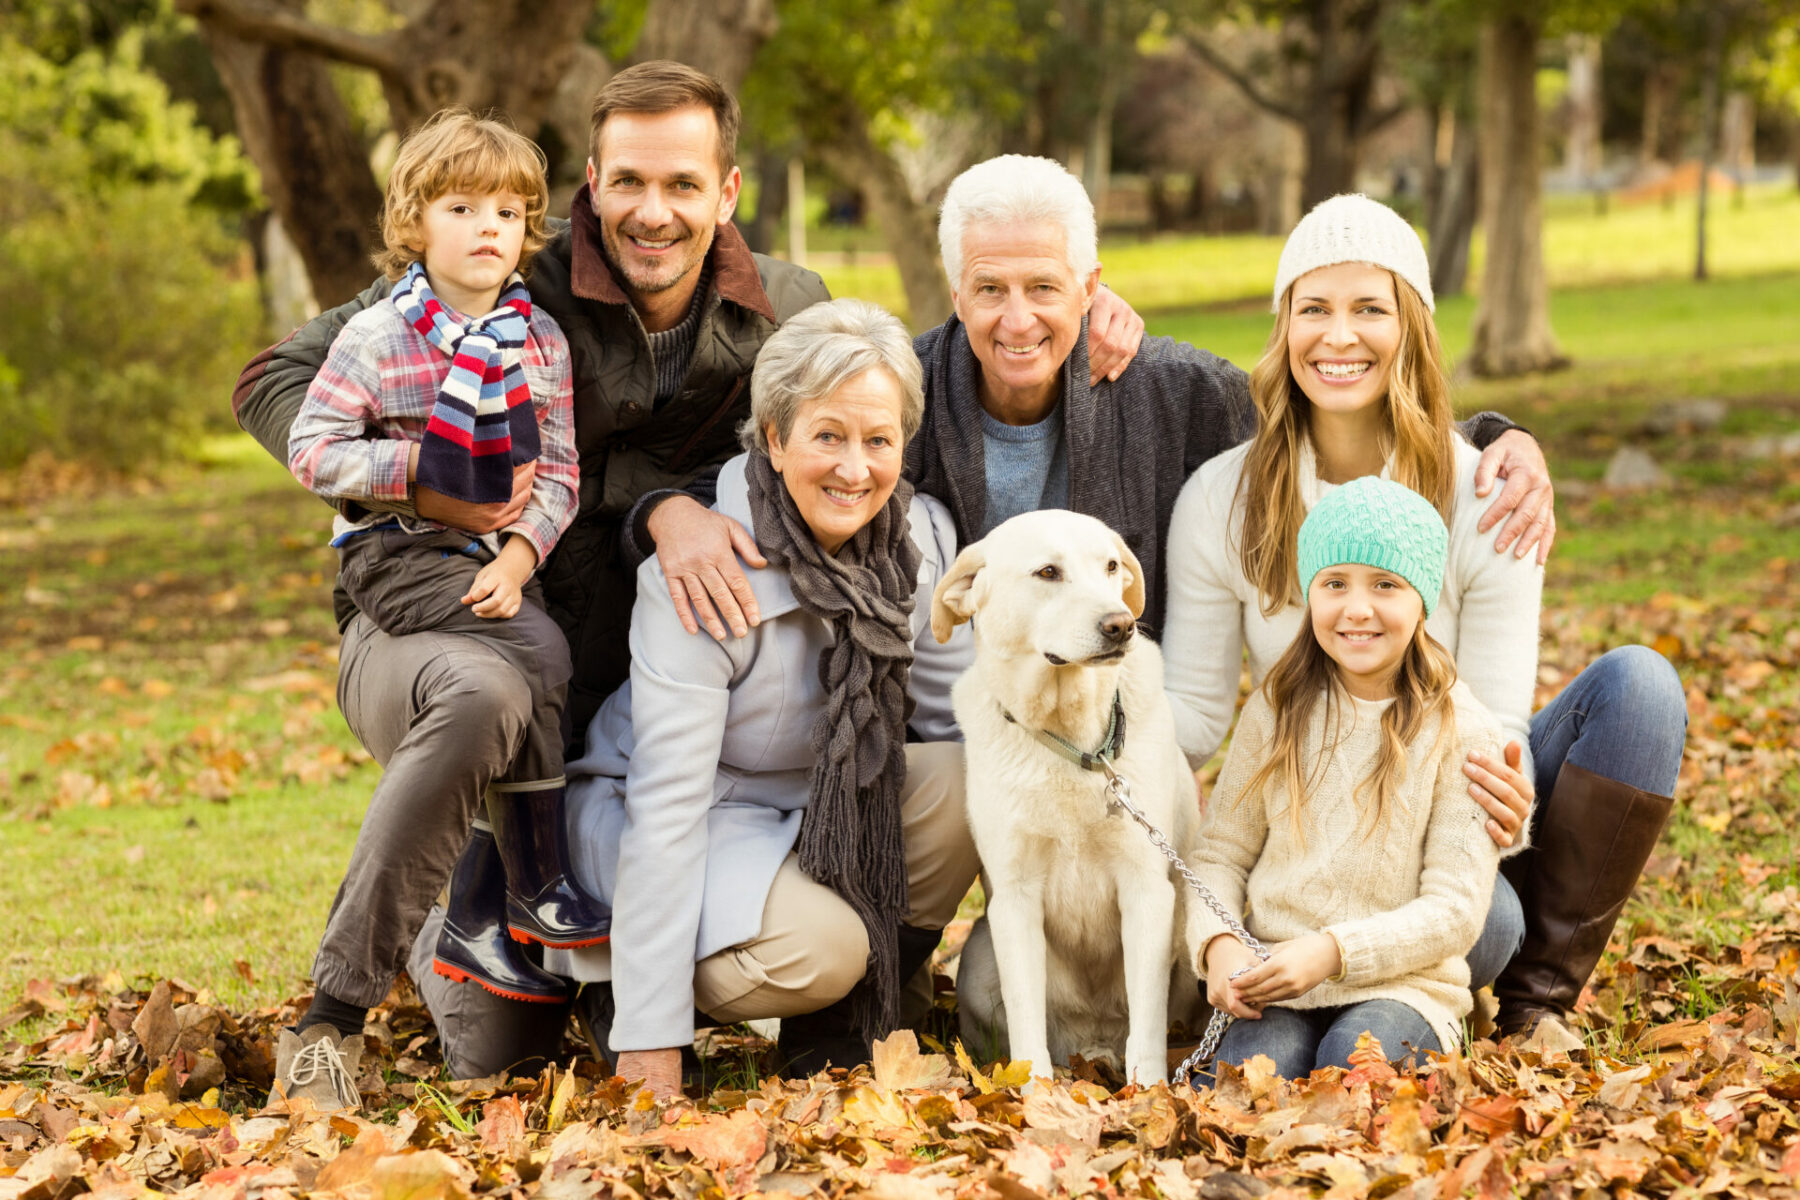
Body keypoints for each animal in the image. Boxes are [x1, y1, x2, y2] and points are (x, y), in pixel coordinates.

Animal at [936, 507, 1202, 1086]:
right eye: (1048, 573)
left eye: (1110, 567)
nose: (1121, 624)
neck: (1073, 743)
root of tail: (1091, 1045)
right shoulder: (1014, 899)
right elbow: (1025, 1016)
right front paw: (1030, 1091)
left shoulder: (1147, 889)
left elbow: (1146, 1022)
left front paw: (1149, 1092)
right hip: (979, 957)